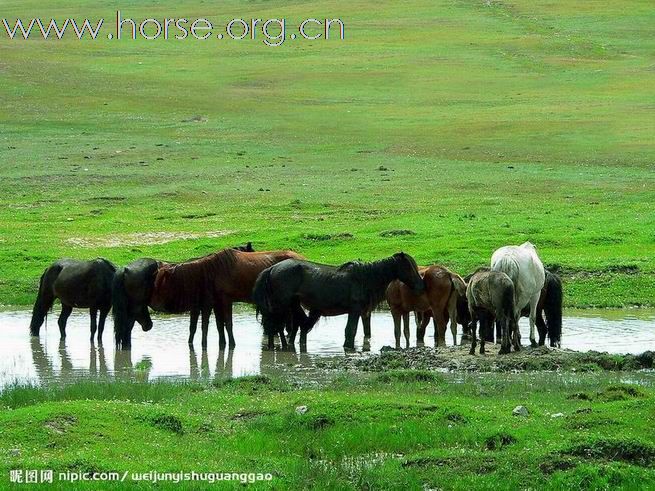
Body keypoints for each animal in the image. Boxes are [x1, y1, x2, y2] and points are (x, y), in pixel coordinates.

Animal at [111, 242, 255, 350]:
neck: (214, 270)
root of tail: (125, 269)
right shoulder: (207, 306)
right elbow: (206, 327)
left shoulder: (197, 308)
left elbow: (194, 328)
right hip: (134, 310)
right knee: (126, 330)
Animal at [150, 248, 302, 352]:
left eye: (160, 283)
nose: (152, 304)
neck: (210, 271)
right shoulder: (217, 303)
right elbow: (219, 325)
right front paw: (222, 343)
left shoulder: (225, 300)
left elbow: (228, 324)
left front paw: (231, 344)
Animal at [251, 252, 426, 352]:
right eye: (409, 267)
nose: (420, 285)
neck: (364, 278)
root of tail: (272, 269)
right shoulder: (354, 311)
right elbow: (350, 331)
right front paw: (349, 348)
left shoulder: (356, 312)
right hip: (281, 305)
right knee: (275, 325)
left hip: (291, 305)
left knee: (285, 327)